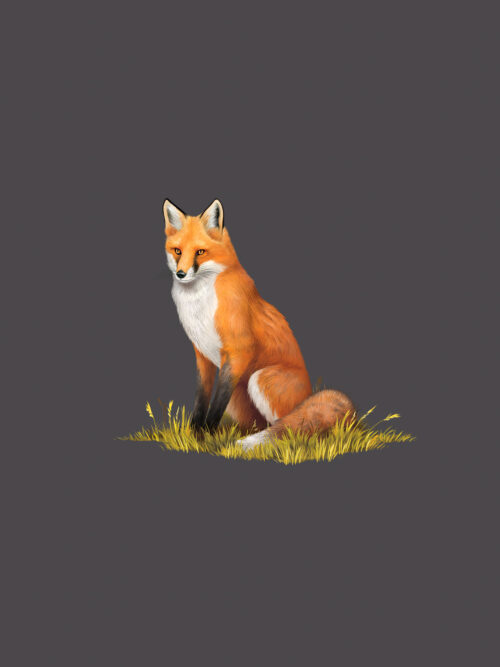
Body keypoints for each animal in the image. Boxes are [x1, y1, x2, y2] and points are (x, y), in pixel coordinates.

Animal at [163, 198, 355, 450]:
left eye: (200, 252)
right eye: (177, 250)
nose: (181, 274)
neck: (199, 302)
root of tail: (308, 394)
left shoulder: (239, 350)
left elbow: (215, 407)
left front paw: (207, 437)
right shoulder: (202, 355)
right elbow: (200, 401)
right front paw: (195, 435)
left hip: (260, 378)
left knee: (289, 427)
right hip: (238, 395)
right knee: (261, 424)